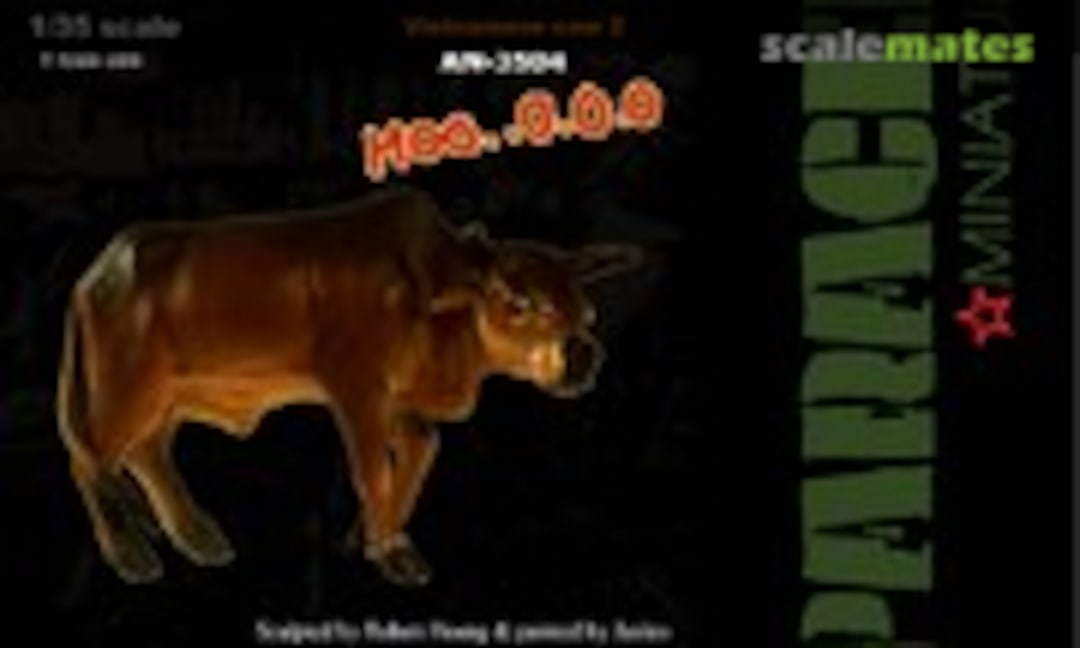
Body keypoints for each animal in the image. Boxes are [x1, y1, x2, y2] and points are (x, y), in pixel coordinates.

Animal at [55, 186, 642, 587]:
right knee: (90, 462)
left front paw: (378, 537)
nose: (582, 355)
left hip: (166, 398)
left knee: (148, 455)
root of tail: (95, 275)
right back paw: (130, 556)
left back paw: (200, 538)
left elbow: (420, 454)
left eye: (584, 305)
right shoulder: (356, 390)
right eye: (518, 301)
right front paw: (386, 551)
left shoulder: (402, 402)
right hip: (123, 387)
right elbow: (372, 469)